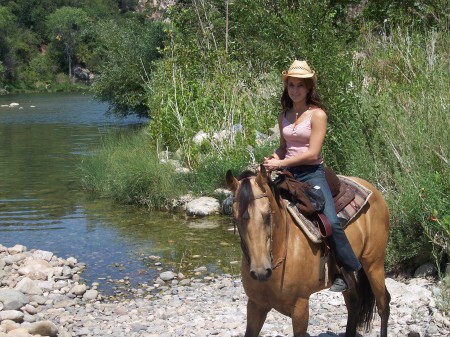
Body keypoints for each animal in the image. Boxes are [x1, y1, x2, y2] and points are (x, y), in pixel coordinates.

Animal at [225, 165, 390, 336]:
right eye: (235, 218)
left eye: (267, 215)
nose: (260, 272)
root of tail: (373, 189)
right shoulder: (255, 305)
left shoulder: (300, 307)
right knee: (354, 302)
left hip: (374, 264)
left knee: (383, 304)